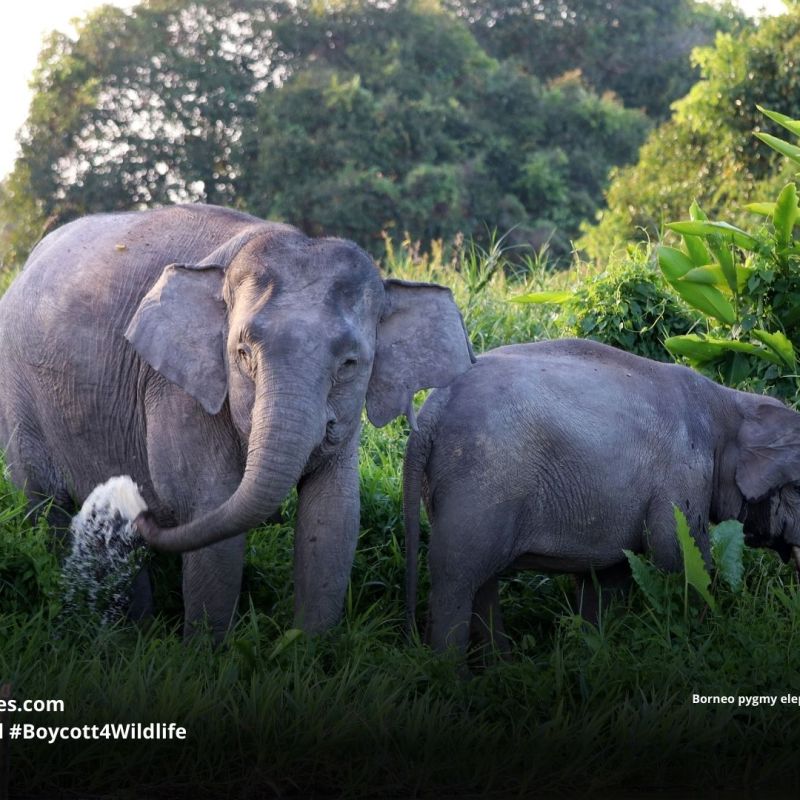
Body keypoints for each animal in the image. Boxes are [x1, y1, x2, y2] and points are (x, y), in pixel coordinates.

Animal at [0, 203, 474, 638]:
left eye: (350, 363)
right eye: (243, 354)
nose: (142, 508)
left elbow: (333, 519)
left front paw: (308, 652)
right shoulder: (179, 388)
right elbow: (212, 514)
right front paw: (208, 656)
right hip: (17, 402)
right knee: (45, 507)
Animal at [404, 338, 800, 655]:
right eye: (797, 489)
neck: (730, 401)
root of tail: (432, 410)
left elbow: (610, 578)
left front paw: (593, 651)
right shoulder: (681, 474)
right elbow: (680, 558)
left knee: (480, 579)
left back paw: (499, 667)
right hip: (480, 482)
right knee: (456, 577)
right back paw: (452, 675)